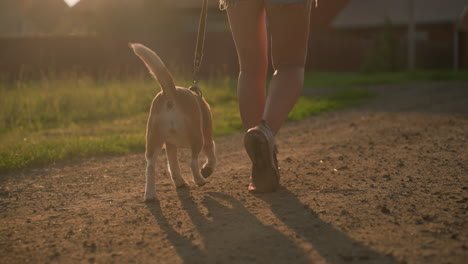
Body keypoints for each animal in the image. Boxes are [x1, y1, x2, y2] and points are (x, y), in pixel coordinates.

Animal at [128, 43, 216, 201]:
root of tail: (171, 92)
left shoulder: (170, 145)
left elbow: (173, 166)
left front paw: (179, 181)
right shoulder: (207, 137)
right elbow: (211, 153)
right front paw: (207, 169)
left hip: (153, 140)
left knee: (150, 167)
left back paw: (150, 195)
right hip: (197, 137)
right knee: (193, 161)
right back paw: (200, 180)